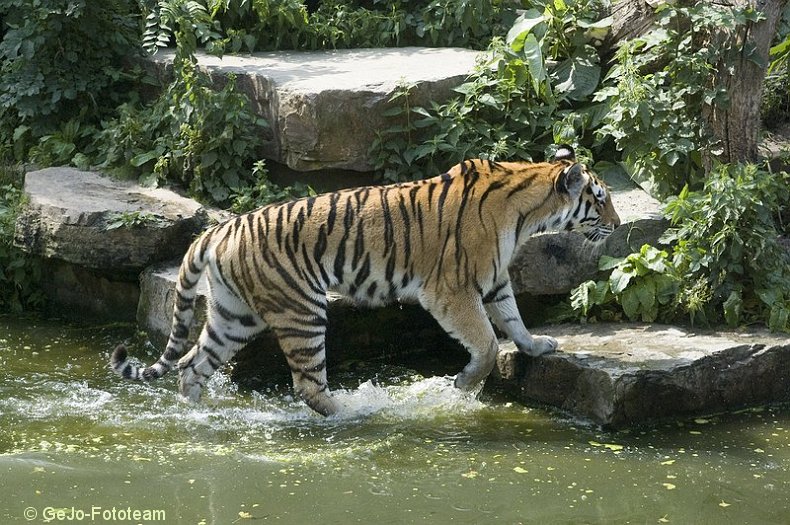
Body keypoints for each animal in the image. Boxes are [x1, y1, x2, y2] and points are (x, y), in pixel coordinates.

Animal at [111, 145, 620, 416]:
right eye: (601, 198)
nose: (616, 225)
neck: (528, 211)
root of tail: (221, 227)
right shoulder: (452, 291)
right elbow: (489, 343)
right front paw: (463, 385)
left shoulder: (494, 281)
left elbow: (514, 322)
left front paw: (538, 347)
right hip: (302, 310)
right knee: (308, 385)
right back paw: (356, 414)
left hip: (234, 316)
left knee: (192, 364)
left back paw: (196, 412)